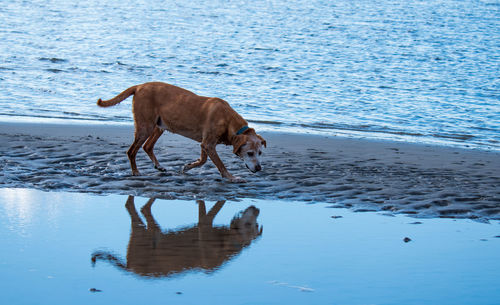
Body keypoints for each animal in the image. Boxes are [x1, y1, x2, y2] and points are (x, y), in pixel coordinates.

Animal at [99, 81, 268, 182]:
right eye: (250, 153)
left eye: (260, 153)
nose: (259, 169)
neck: (229, 122)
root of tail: (139, 86)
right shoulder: (208, 144)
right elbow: (220, 164)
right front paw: (231, 178)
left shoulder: (205, 143)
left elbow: (203, 160)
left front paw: (188, 166)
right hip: (145, 127)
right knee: (132, 151)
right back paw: (135, 172)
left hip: (160, 126)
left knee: (147, 146)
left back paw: (158, 166)